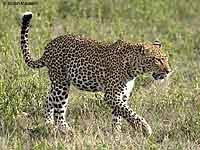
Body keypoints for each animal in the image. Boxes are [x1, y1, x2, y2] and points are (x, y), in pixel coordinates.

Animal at [19, 11, 170, 136]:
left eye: (166, 58)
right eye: (158, 60)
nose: (168, 71)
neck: (134, 68)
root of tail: (49, 46)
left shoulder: (122, 95)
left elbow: (119, 114)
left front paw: (116, 133)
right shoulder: (112, 95)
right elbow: (128, 112)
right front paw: (144, 128)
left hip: (59, 84)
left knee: (49, 100)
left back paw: (48, 124)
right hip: (61, 83)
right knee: (59, 109)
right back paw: (66, 130)